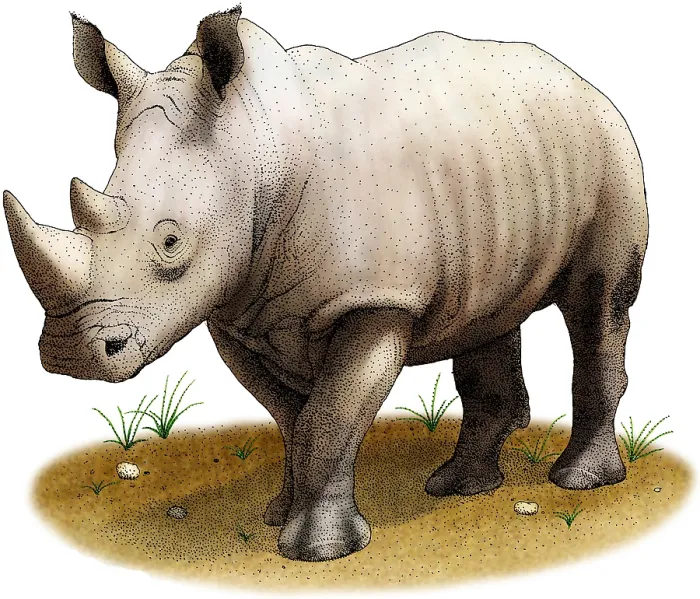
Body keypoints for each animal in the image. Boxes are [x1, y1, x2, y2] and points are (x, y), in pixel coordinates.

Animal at [4, 7, 647, 561]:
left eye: (170, 242)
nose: (68, 355)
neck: (254, 152)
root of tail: (581, 79)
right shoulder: (237, 309)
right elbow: (291, 419)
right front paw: (277, 514)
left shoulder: (375, 303)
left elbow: (329, 417)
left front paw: (318, 551)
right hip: (502, 178)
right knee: (487, 314)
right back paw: (457, 487)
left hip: (611, 152)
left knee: (597, 307)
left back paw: (577, 482)